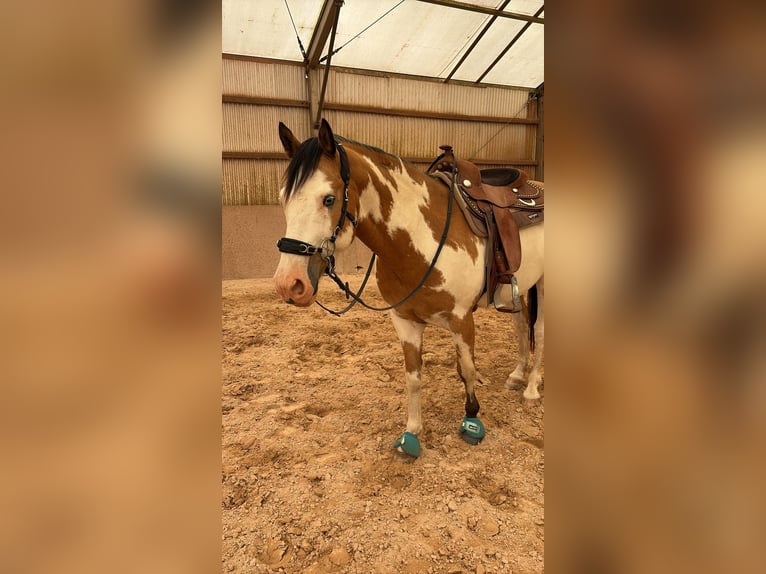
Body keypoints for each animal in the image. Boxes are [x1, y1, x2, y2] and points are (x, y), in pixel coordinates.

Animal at [273, 119, 544, 458]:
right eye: (283, 199)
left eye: (329, 199)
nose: (289, 283)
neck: (420, 237)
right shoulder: (404, 321)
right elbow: (413, 377)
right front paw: (412, 432)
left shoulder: (461, 319)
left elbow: (467, 369)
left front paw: (471, 420)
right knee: (522, 326)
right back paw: (517, 376)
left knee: (540, 334)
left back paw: (532, 389)